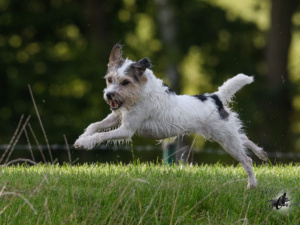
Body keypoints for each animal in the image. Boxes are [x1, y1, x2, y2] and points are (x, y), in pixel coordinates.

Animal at [74, 43, 268, 188]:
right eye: (109, 79)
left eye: (125, 82)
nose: (109, 95)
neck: (139, 94)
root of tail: (215, 97)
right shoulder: (117, 117)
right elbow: (94, 125)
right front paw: (82, 138)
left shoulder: (127, 129)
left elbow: (101, 135)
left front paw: (85, 143)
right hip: (224, 135)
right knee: (243, 138)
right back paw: (261, 153)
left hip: (226, 139)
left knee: (246, 159)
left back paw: (252, 184)